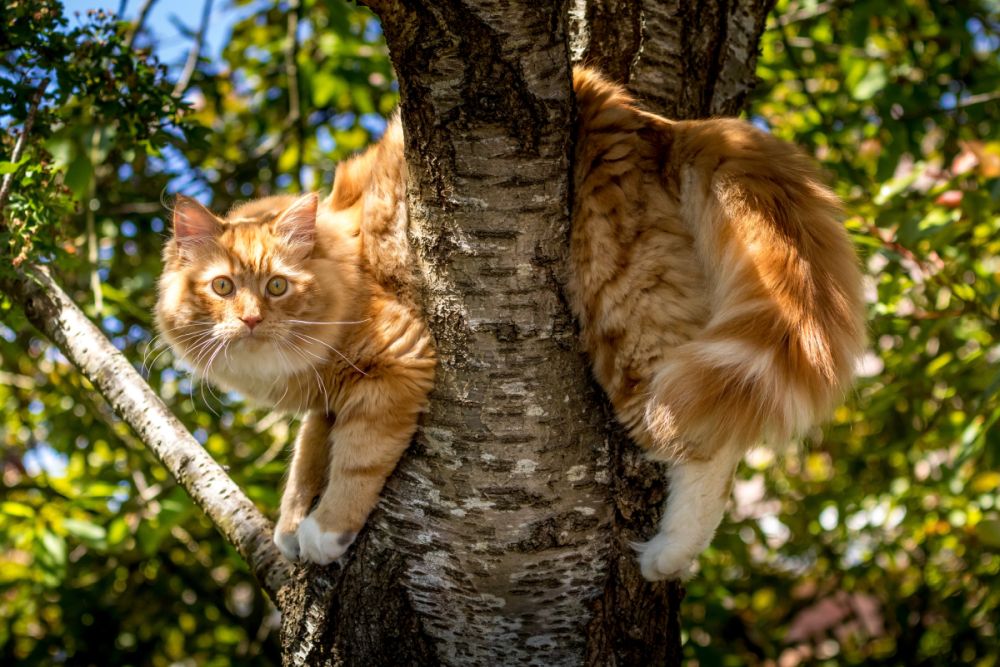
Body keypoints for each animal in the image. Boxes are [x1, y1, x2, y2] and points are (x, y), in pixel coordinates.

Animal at [152, 66, 864, 580]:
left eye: (276, 286)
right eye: (222, 288)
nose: (249, 320)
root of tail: (649, 119)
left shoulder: (398, 359)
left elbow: (354, 460)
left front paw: (325, 532)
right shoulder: (323, 398)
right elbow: (306, 459)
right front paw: (290, 525)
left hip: (628, 328)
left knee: (709, 448)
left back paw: (669, 555)